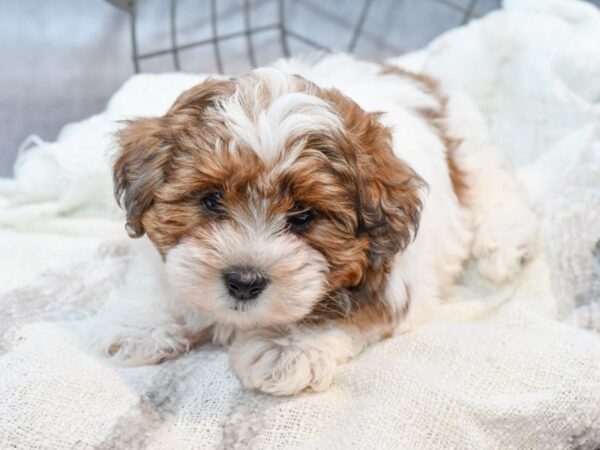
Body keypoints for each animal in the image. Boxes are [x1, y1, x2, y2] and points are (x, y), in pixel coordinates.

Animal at [91, 54, 536, 396]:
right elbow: (159, 277)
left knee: (496, 192)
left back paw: (504, 246)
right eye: (211, 200)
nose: (244, 281)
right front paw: (142, 326)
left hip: (472, 151)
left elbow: (337, 312)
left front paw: (285, 349)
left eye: (303, 216)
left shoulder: (387, 283)